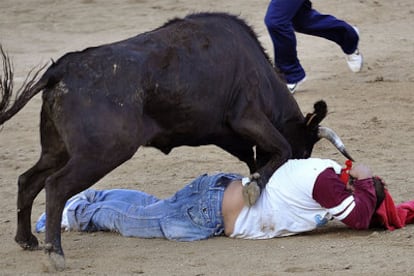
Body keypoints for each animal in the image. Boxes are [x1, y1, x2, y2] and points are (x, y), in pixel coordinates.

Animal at [0, 12, 352, 270]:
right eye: (304, 150)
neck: (259, 72)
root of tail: (61, 69)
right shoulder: (247, 117)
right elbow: (278, 147)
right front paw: (253, 187)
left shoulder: (234, 134)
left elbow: (256, 157)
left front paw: (252, 181)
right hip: (101, 153)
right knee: (56, 186)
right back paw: (55, 253)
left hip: (58, 149)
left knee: (28, 180)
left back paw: (27, 240)